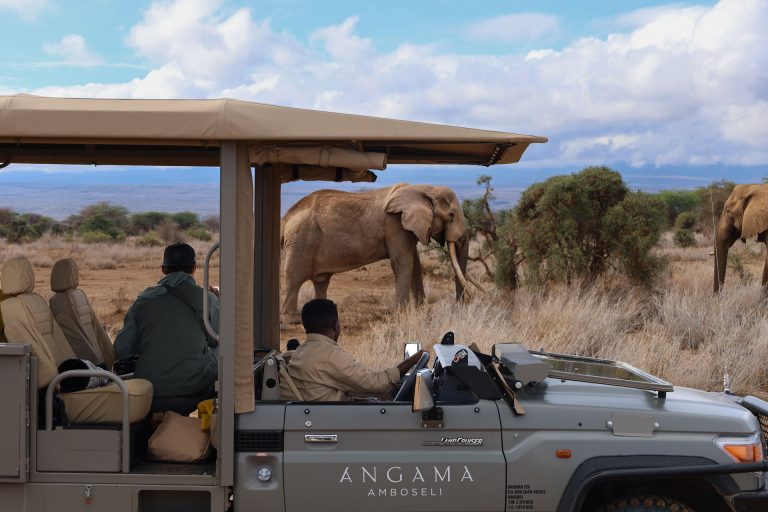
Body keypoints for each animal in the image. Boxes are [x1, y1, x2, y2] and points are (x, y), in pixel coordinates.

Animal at [280, 183, 476, 322]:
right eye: (451, 215)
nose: (459, 308)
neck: (425, 189)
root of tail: (287, 217)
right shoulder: (395, 225)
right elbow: (403, 262)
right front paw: (403, 315)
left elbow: (415, 263)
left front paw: (421, 312)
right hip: (301, 241)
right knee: (294, 278)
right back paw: (293, 319)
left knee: (321, 281)